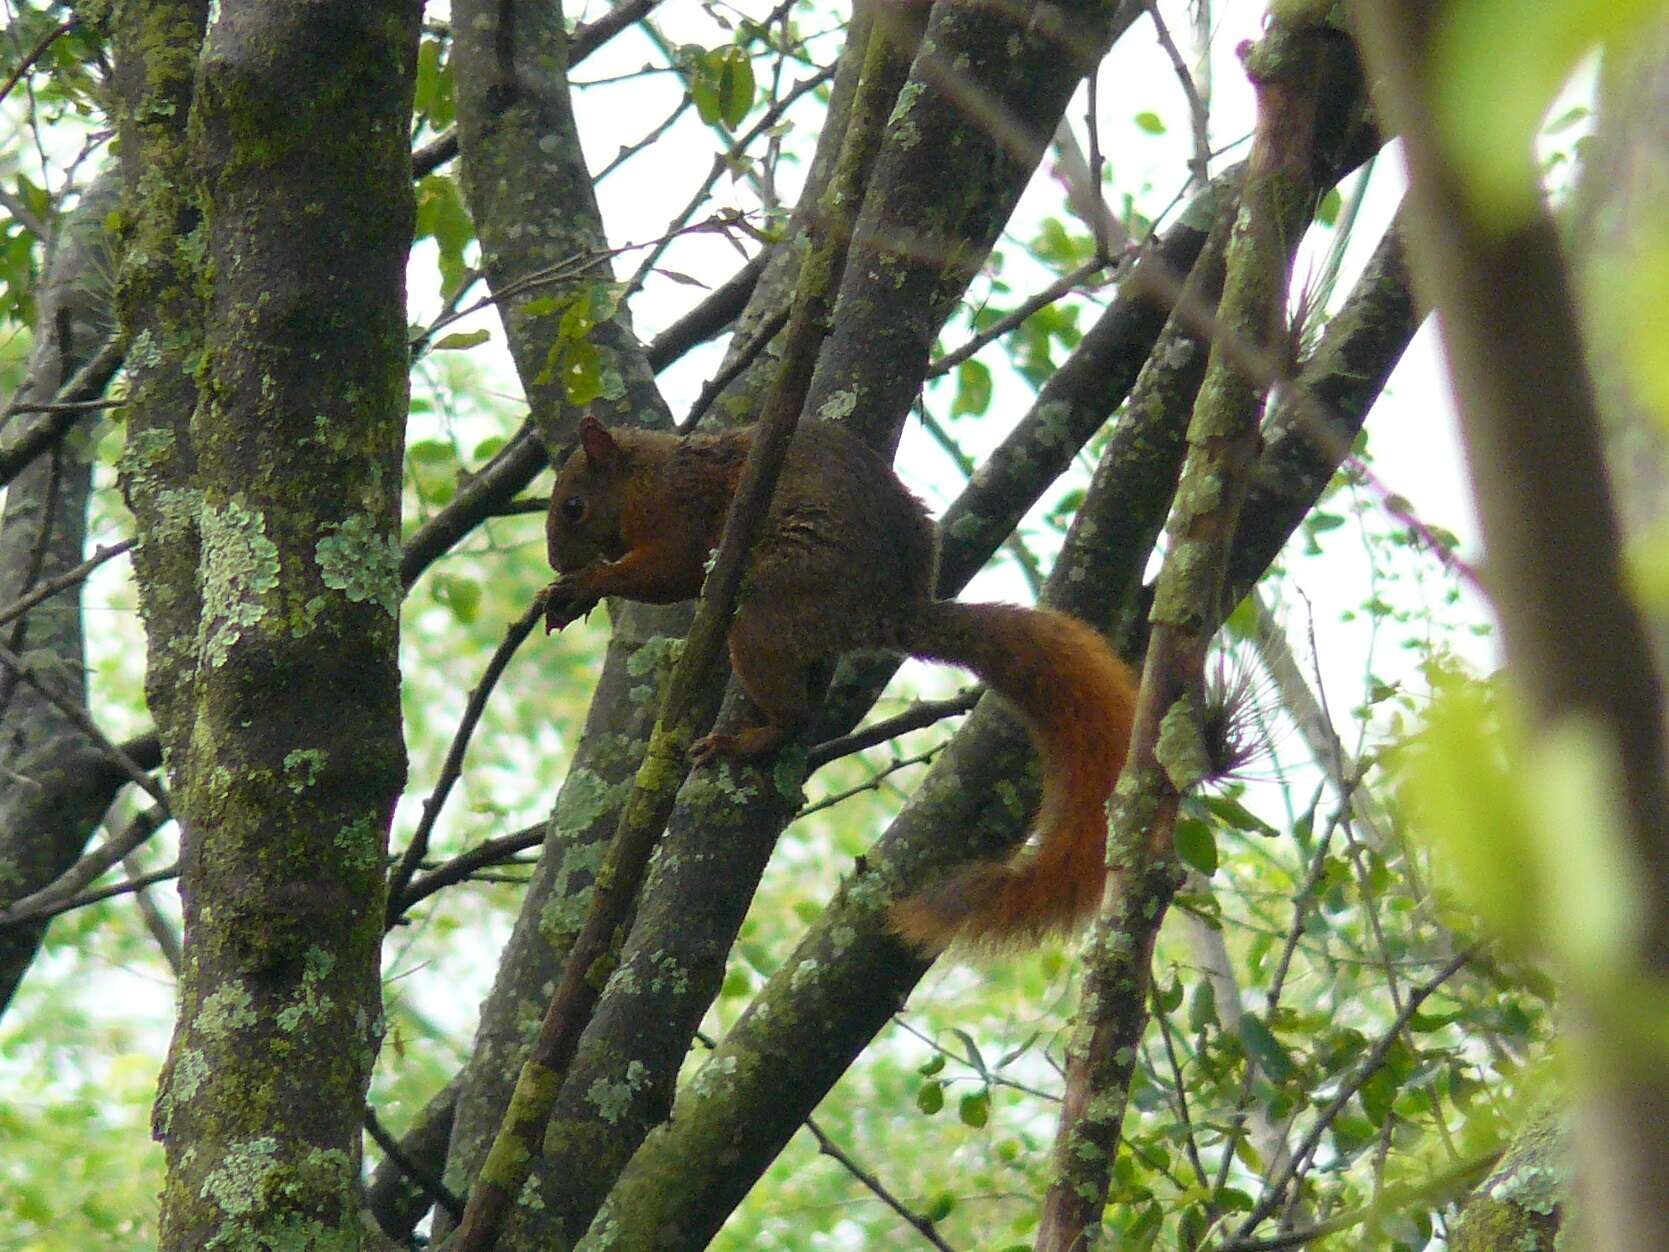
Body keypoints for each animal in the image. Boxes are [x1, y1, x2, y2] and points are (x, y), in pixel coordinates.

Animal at [540, 417, 1141, 954]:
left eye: (573, 507)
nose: (555, 560)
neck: (653, 473)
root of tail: (889, 610)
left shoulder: (684, 515)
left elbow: (669, 574)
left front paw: (585, 582)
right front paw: (570, 593)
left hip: (771, 603)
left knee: (794, 714)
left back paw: (747, 740)